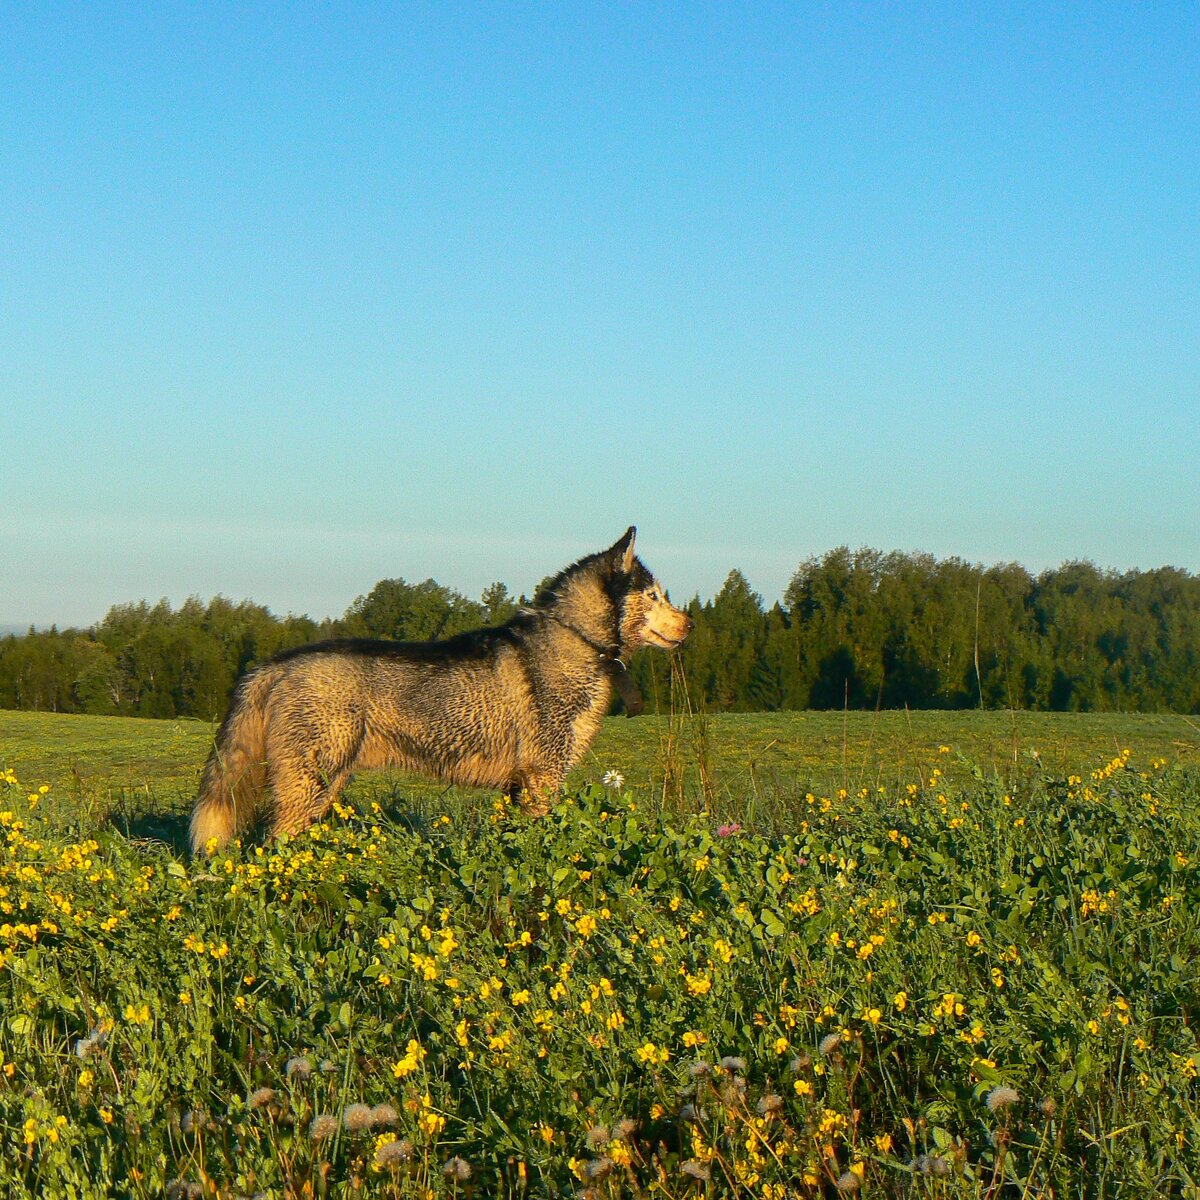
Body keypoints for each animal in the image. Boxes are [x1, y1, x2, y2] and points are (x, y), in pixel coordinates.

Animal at [189, 528, 696, 854]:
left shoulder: (520, 787)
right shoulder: (542, 778)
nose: (691, 624)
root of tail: (277, 663)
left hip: (324, 786)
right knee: (273, 845)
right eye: (653, 596)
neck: (575, 638)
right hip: (309, 783)